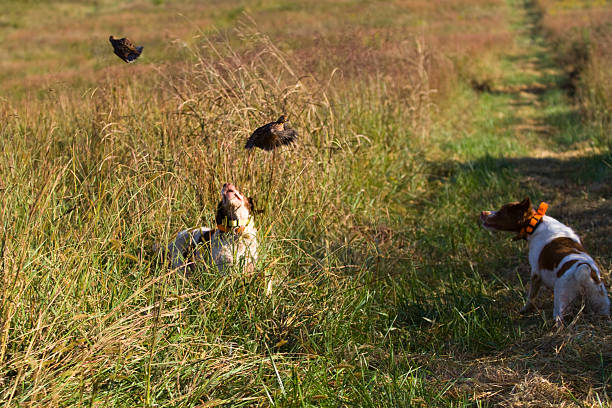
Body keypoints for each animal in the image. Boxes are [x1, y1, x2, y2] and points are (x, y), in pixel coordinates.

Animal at [480, 198, 608, 326]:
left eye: (501, 212)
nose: (482, 213)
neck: (536, 224)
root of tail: (582, 269)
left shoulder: (535, 273)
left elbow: (531, 297)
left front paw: (524, 310)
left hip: (561, 300)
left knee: (559, 320)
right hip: (600, 300)